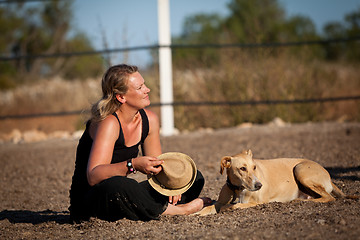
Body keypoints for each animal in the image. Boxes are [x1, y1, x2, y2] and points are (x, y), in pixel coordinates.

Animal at [198, 148, 356, 216]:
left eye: (254, 167)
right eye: (242, 168)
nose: (259, 185)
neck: (238, 189)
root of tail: (327, 174)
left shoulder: (258, 202)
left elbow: (236, 206)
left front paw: (229, 208)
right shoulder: (220, 201)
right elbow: (209, 207)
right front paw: (198, 212)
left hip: (300, 169)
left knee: (328, 198)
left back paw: (300, 201)